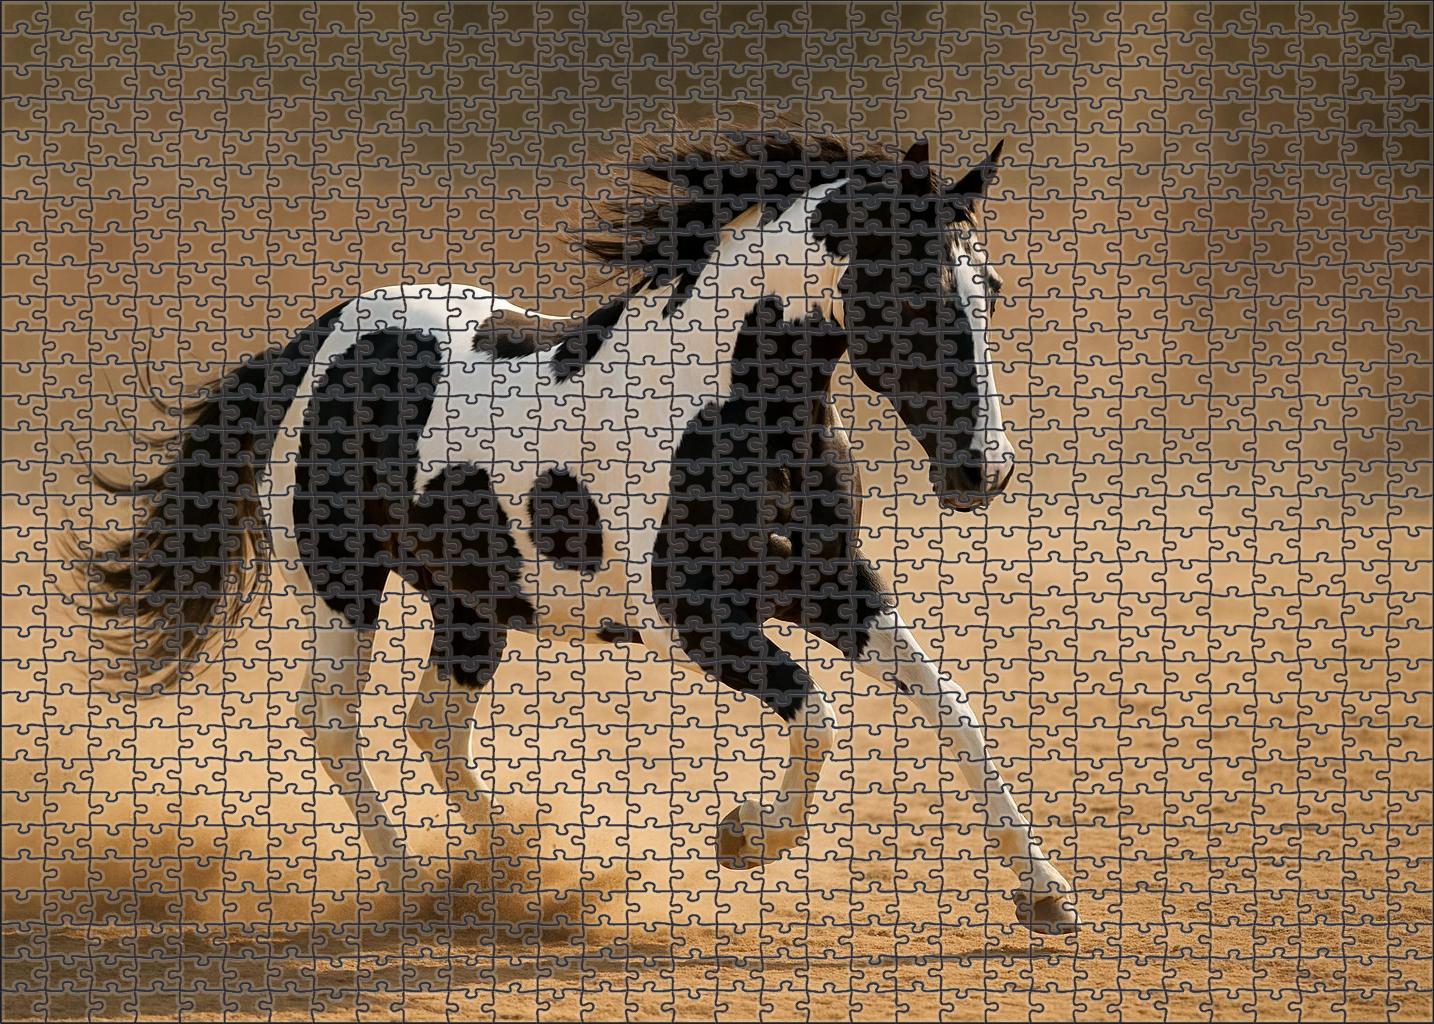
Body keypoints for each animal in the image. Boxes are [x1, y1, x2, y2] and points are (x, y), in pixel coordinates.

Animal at [77, 128, 1079, 935]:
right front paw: (745, 839)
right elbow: (819, 714)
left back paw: (503, 871)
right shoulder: (693, 619)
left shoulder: (829, 583)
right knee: (333, 725)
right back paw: (418, 889)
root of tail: (312, 346)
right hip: (344, 590)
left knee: (431, 724)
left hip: (474, 604)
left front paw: (1046, 896)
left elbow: (951, 708)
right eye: (910, 293)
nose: (983, 472)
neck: (730, 410)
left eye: (989, 288)